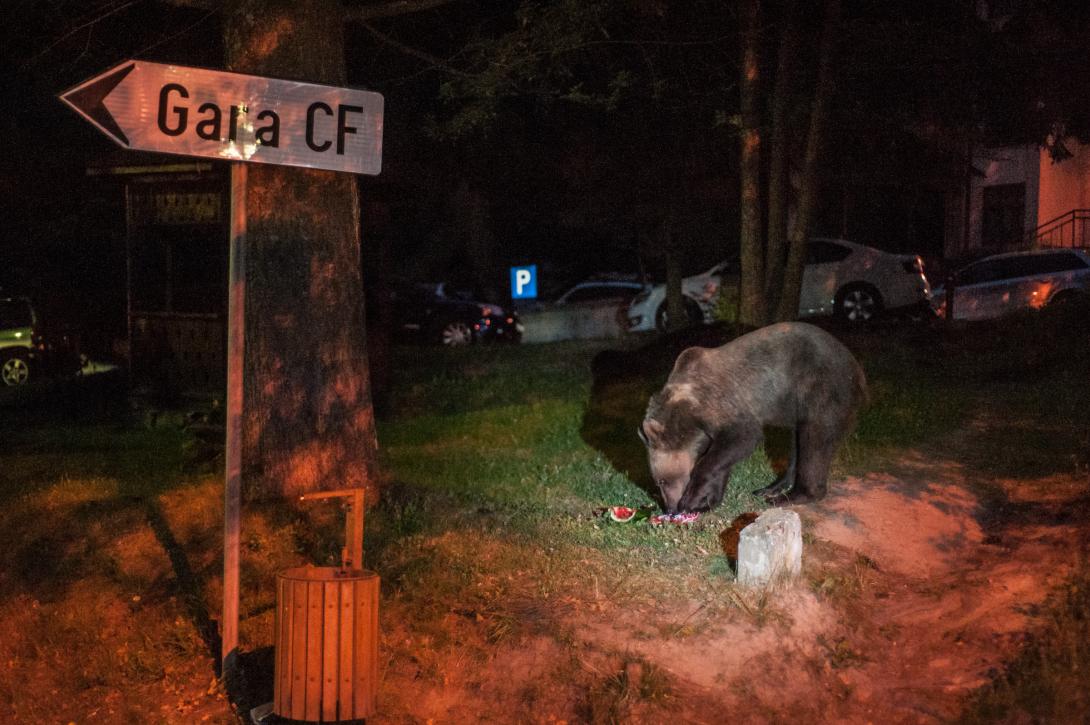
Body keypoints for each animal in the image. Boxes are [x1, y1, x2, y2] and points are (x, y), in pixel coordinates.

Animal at [636, 320, 867, 512]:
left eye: (661, 481)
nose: (670, 508)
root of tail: (858, 370)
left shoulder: (717, 403)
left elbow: (742, 437)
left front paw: (691, 499)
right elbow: (723, 459)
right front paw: (707, 501)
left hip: (821, 387)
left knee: (815, 439)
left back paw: (791, 496)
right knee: (797, 444)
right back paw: (771, 488)